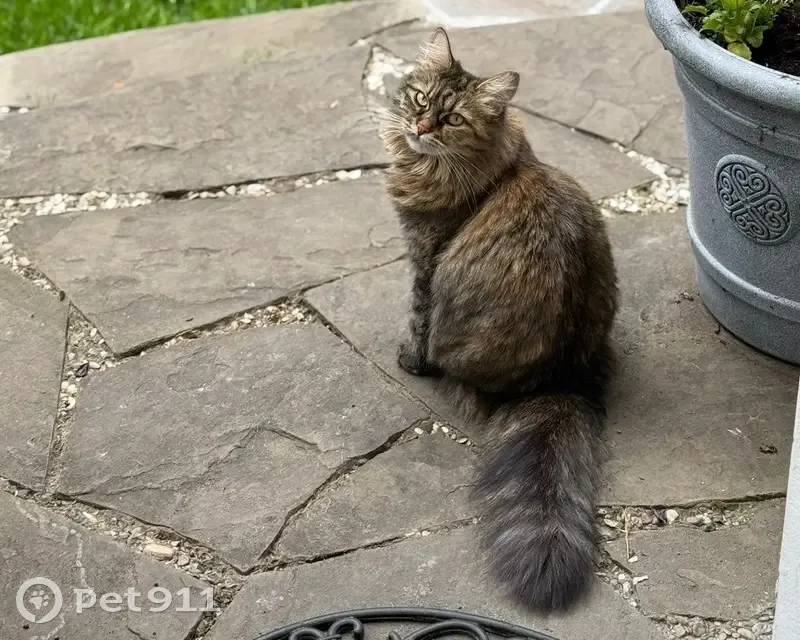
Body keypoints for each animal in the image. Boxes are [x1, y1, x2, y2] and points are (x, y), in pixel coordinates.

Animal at [379, 28, 619, 612]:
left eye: (452, 119)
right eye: (419, 100)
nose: (421, 129)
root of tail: (559, 380)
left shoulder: (426, 258)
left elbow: (417, 319)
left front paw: (409, 358)